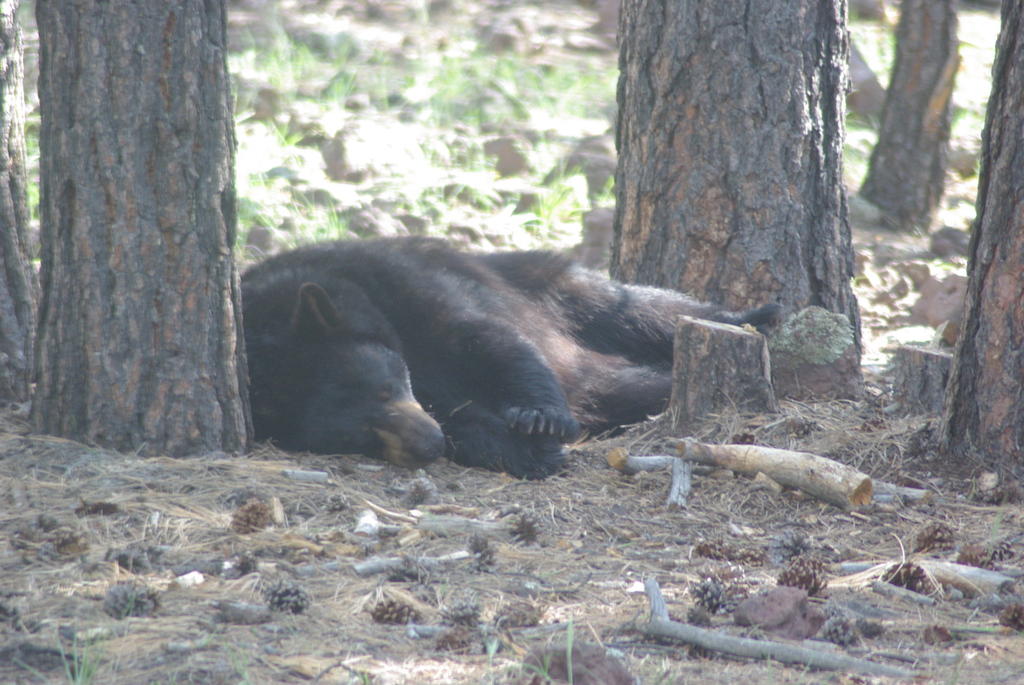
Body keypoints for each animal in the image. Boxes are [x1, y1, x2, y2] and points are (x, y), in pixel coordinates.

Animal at [241, 237, 781, 479]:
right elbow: (467, 420)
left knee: (631, 308)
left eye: (386, 386)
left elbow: (487, 341)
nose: (426, 443)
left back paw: (754, 316)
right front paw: (528, 448)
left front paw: (541, 419)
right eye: (356, 436)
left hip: (540, 282)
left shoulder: (401, 287)